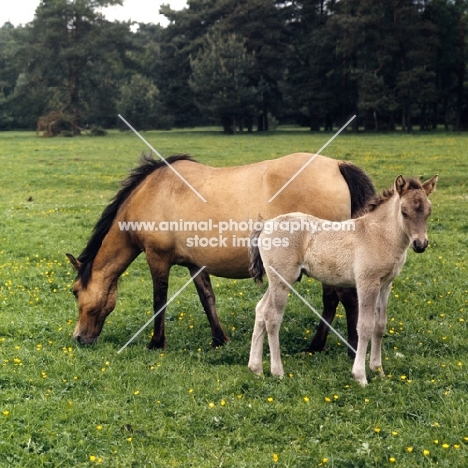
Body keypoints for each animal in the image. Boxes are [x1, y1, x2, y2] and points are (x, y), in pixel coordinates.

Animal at [66, 152, 374, 350]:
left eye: (74, 291)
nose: (79, 338)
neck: (152, 191)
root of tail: (337, 166)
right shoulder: (195, 264)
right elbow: (207, 298)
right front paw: (219, 339)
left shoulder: (157, 259)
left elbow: (159, 301)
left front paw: (156, 342)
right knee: (338, 300)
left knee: (342, 299)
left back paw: (339, 347)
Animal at [250, 174, 436, 386]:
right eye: (404, 212)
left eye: (428, 212)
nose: (420, 244)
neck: (377, 235)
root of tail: (266, 226)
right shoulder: (367, 283)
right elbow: (365, 326)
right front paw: (360, 376)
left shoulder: (385, 285)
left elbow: (380, 326)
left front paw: (378, 370)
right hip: (282, 281)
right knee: (272, 317)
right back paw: (277, 371)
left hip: (278, 280)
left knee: (260, 310)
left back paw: (256, 369)